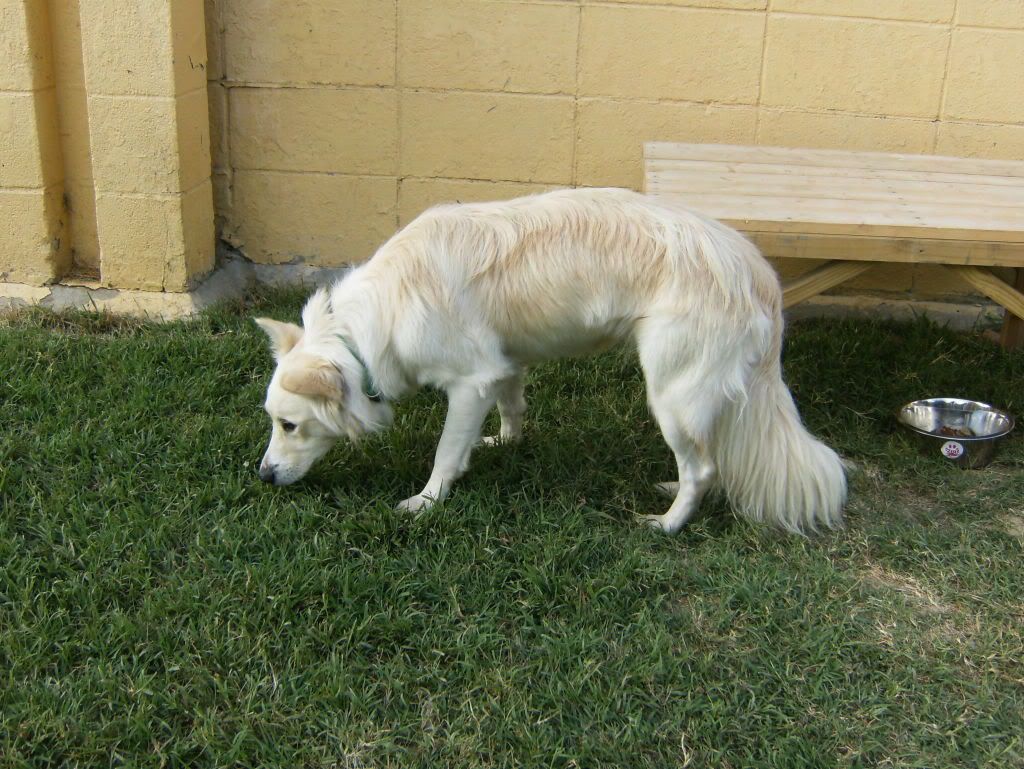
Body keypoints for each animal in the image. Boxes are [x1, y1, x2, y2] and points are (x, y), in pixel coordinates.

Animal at [258, 188, 847, 532]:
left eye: (289, 425)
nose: (262, 477)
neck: (363, 327)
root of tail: (756, 271)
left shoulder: (469, 382)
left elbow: (445, 453)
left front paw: (426, 502)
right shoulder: (502, 366)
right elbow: (512, 408)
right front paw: (504, 444)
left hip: (671, 395)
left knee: (703, 467)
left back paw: (666, 523)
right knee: (707, 463)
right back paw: (670, 491)